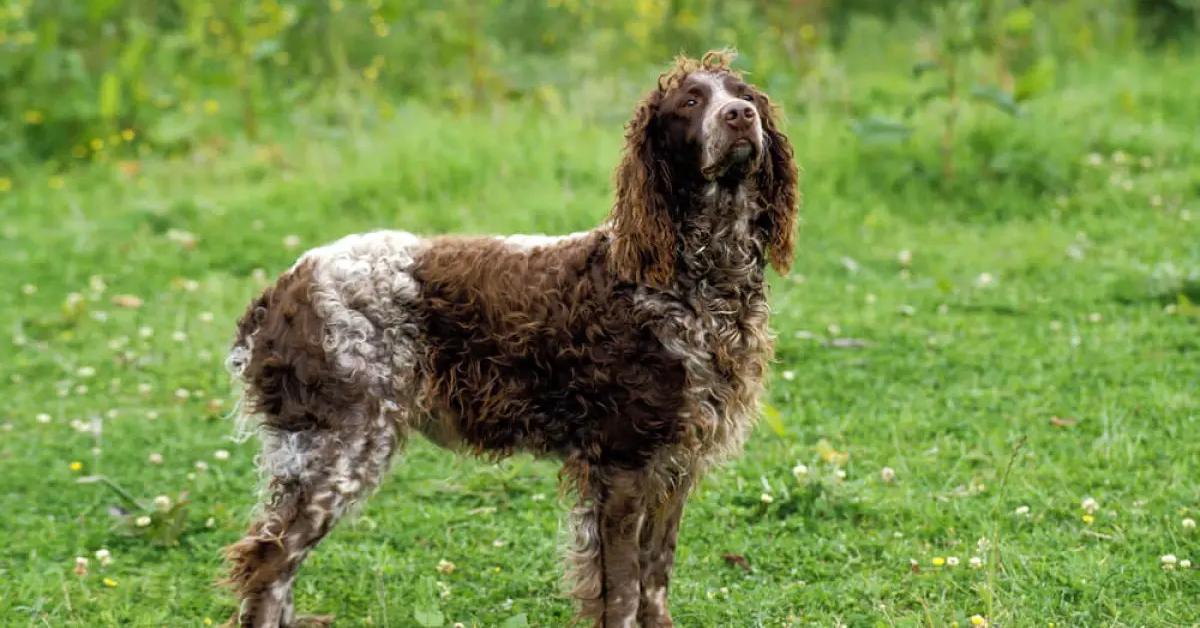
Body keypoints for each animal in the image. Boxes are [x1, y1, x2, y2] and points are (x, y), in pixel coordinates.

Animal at [225, 50, 801, 628]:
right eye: (690, 101)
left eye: (744, 95)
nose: (739, 116)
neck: (695, 279)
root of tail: (283, 287)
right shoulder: (624, 461)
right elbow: (623, 592)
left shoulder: (674, 465)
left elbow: (654, 581)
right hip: (341, 448)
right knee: (268, 562)